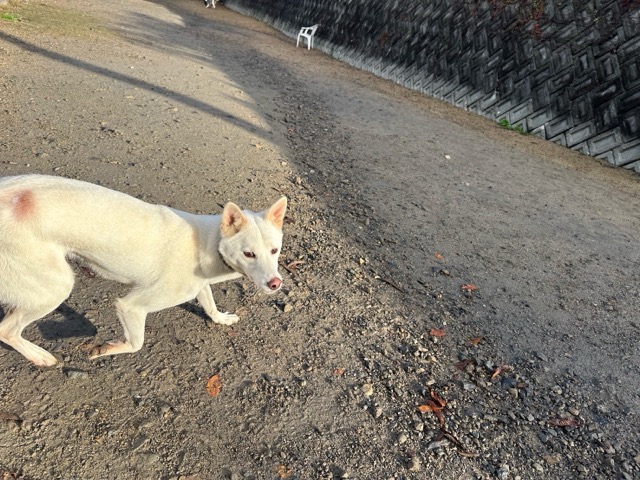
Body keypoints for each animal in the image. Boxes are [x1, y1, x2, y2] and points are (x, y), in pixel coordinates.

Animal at [0, 174, 287, 367]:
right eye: (249, 254)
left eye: (274, 250)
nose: (275, 284)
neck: (208, 243)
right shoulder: (132, 306)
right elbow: (135, 344)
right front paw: (105, 349)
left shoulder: (199, 284)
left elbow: (209, 303)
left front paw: (221, 319)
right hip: (57, 285)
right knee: (7, 330)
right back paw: (39, 356)